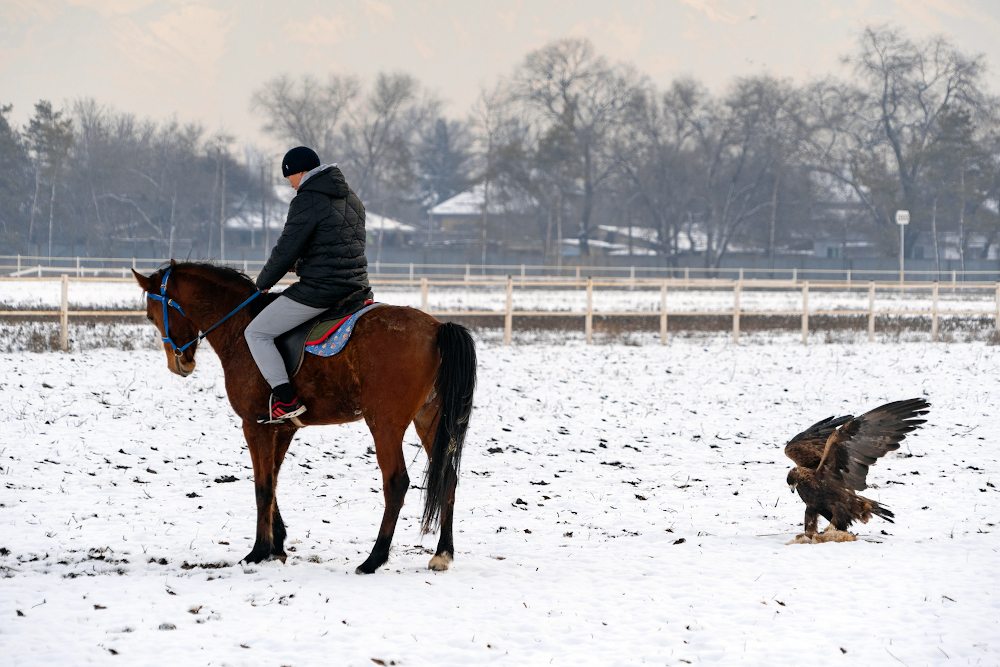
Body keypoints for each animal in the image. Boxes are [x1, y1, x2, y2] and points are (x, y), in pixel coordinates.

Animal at [133, 262, 476, 576]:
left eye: (151, 316)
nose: (180, 364)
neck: (241, 327)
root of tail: (436, 329)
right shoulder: (281, 429)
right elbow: (273, 481)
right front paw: (277, 544)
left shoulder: (253, 425)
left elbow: (262, 486)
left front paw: (258, 551)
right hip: (429, 420)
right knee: (448, 477)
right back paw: (442, 553)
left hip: (385, 424)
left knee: (396, 482)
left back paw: (373, 559)